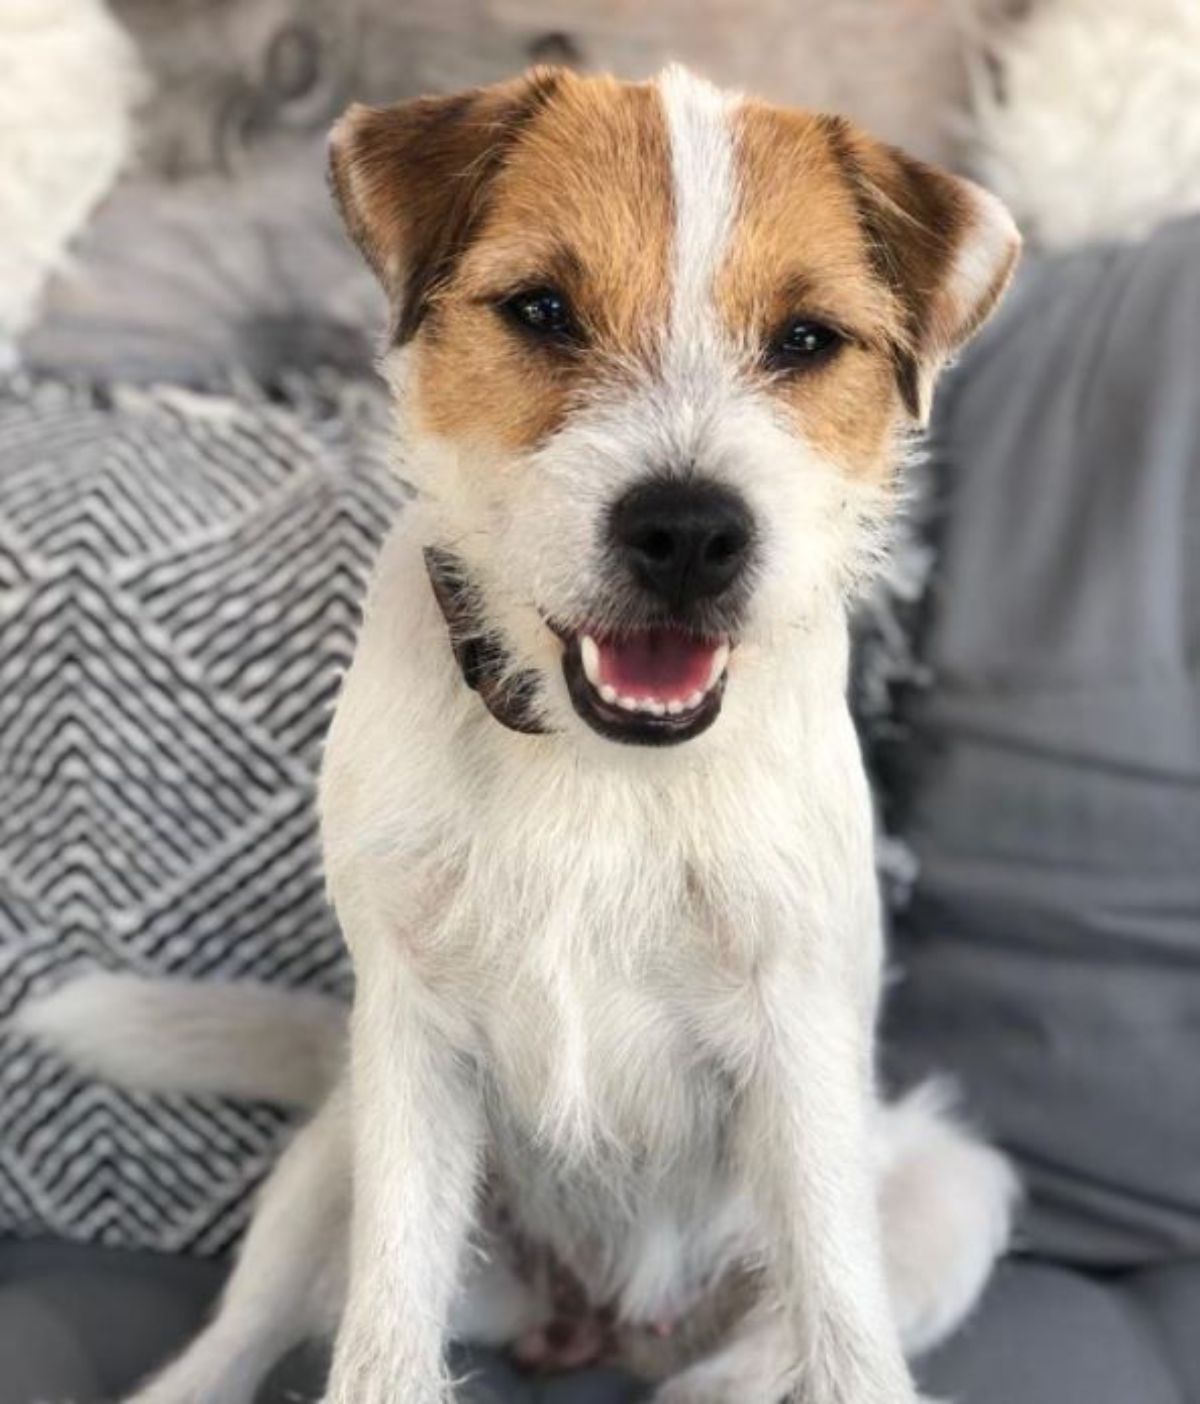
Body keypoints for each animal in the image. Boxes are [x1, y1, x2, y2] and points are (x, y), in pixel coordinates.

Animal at [14, 65, 1016, 1404]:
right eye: (542, 310)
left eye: (806, 340)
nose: (689, 531)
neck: (598, 765)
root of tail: (609, 1321)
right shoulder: (414, 1046)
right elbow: (384, 1334)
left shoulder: (800, 1043)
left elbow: (847, 1335)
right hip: (335, 1152)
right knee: (253, 1326)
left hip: (943, 1191)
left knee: (772, 1345)